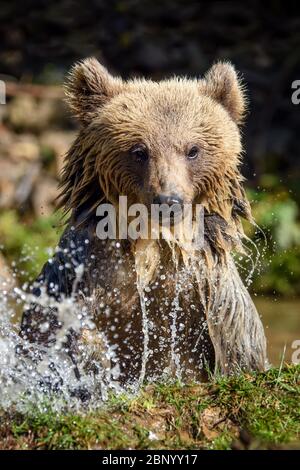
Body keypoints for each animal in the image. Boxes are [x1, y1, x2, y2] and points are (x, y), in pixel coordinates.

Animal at [20, 58, 268, 388]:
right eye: (139, 151)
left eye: (193, 149)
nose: (169, 200)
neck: (153, 243)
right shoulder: (88, 276)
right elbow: (65, 330)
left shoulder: (206, 290)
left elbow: (238, 344)